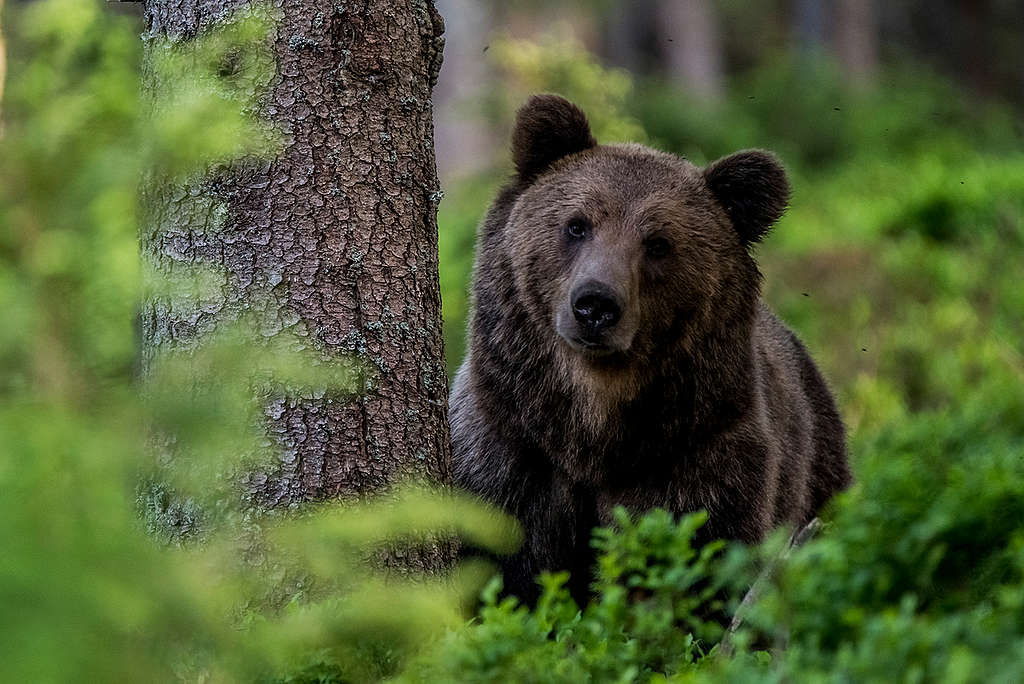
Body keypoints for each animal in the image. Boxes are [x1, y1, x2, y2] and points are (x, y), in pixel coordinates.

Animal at [452, 92, 851, 602]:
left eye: (658, 243)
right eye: (577, 225)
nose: (596, 305)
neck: (590, 432)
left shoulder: (697, 458)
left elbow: (697, 564)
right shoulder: (510, 450)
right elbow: (502, 565)